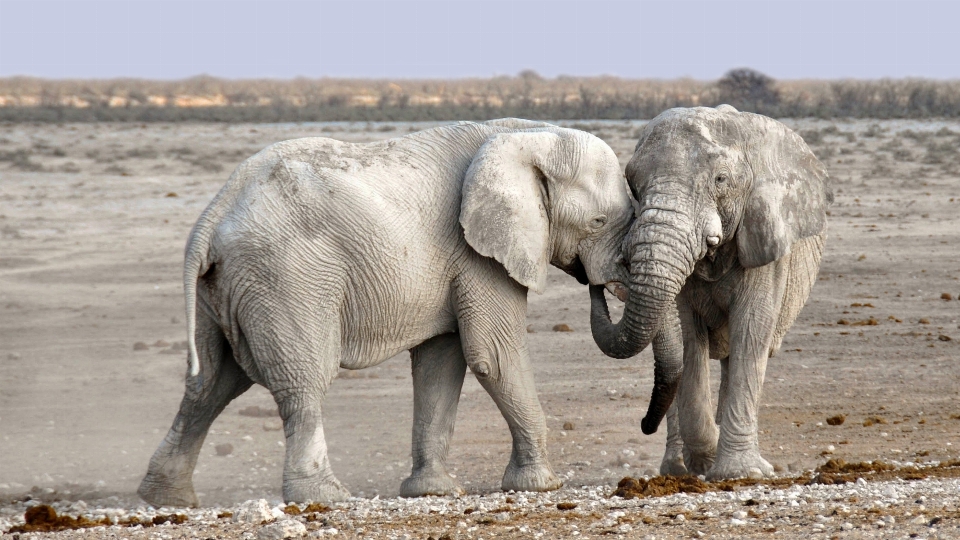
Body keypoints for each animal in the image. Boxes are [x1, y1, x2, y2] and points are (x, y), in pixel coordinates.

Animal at [139, 118, 636, 506]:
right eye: (597, 223)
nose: (597, 284)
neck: (527, 135)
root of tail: (213, 215)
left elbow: (441, 364)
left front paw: (432, 492)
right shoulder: (479, 254)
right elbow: (493, 356)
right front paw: (541, 485)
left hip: (224, 288)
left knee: (211, 383)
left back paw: (166, 498)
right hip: (286, 278)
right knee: (303, 380)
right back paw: (326, 497)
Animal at [588, 106, 828, 480]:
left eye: (721, 180)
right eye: (633, 185)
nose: (597, 283)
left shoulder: (765, 239)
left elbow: (752, 331)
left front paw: (740, 473)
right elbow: (687, 339)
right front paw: (707, 460)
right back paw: (677, 469)